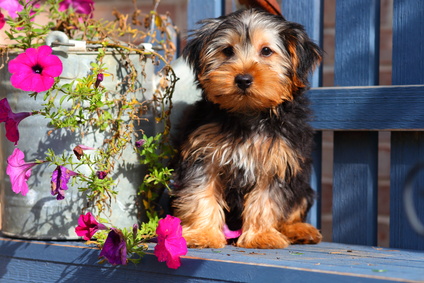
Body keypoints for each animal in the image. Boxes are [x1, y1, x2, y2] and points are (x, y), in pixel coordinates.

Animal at [171, 7, 322, 250]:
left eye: (267, 51)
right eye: (227, 50)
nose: (243, 79)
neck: (248, 113)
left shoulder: (276, 160)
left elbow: (265, 200)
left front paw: (261, 236)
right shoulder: (203, 155)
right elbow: (201, 192)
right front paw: (202, 233)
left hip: (302, 185)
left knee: (296, 204)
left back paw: (298, 230)